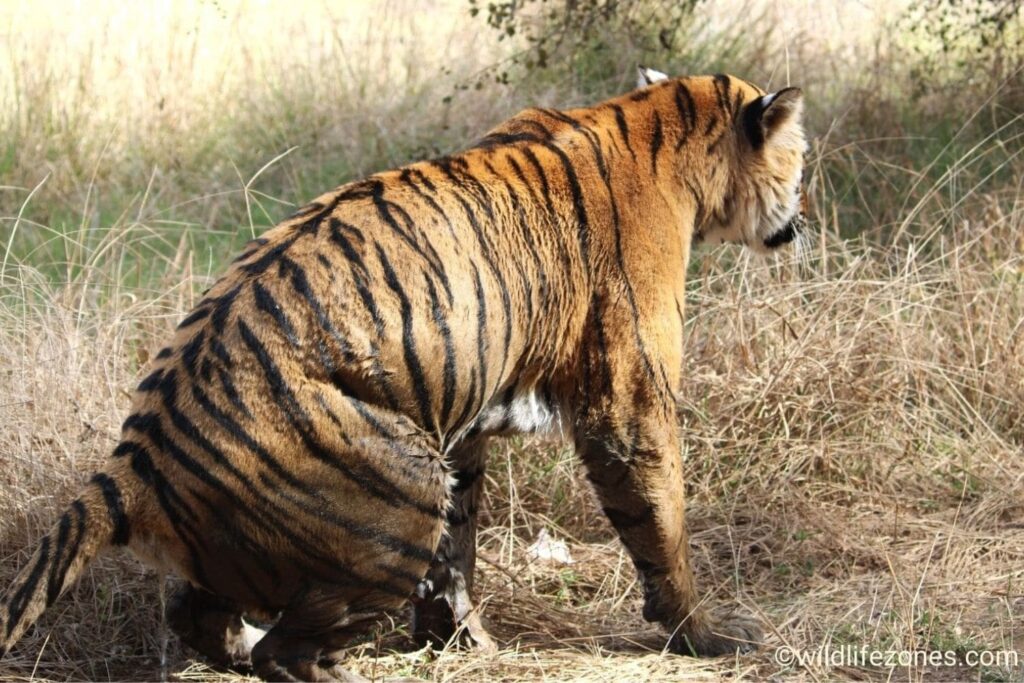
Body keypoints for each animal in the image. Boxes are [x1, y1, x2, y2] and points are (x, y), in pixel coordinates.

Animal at [0, 66, 807, 681]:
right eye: (797, 164)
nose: (801, 217)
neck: (659, 122)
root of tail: (136, 456)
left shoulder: (466, 416)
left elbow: (461, 546)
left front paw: (459, 638)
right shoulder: (630, 399)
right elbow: (659, 520)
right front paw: (704, 635)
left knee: (197, 614)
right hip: (398, 494)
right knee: (286, 653)